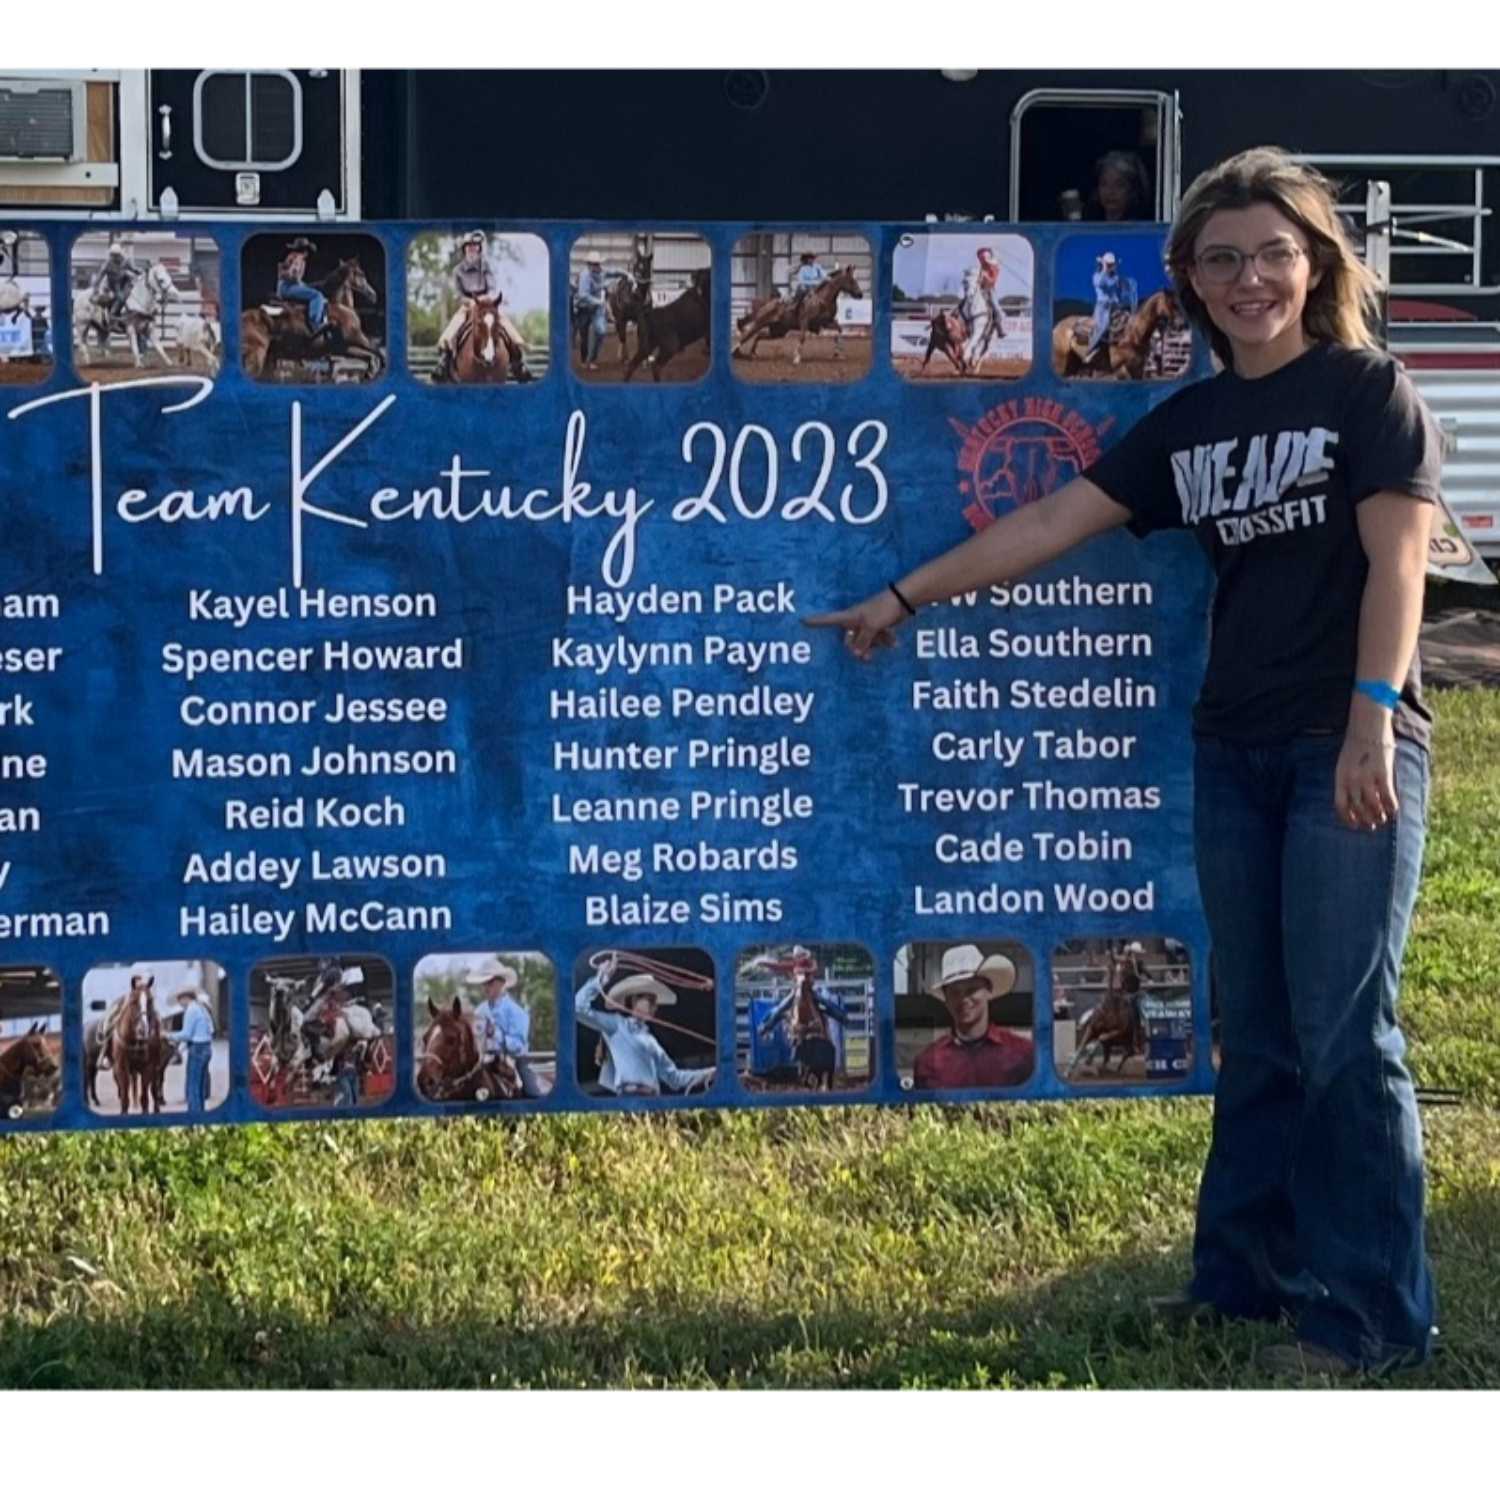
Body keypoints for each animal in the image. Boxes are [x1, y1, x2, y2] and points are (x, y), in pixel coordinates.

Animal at [237, 256, 384, 381]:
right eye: (361, 274)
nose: (373, 295)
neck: (340, 306)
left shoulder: (343, 348)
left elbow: (370, 355)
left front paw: (370, 372)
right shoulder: (358, 337)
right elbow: (377, 352)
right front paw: (373, 371)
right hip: (256, 357)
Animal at [732, 264, 864, 363]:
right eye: (851, 280)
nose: (860, 294)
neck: (822, 300)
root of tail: (767, 303)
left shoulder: (827, 322)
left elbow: (839, 331)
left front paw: (838, 353)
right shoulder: (804, 321)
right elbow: (802, 337)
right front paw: (796, 358)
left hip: (778, 331)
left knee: (759, 335)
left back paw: (752, 353)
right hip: (760, 322)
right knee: (746, 336)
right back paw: (735, 352)